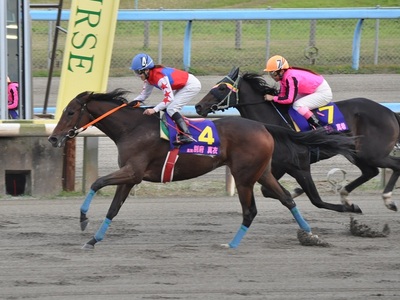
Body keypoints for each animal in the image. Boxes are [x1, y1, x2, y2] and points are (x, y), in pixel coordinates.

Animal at [47, 88, 354, 248]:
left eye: (70, 112)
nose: (53, 137)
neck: (132, 128)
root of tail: (263, 126)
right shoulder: (131, 177)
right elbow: (113, 208)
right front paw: (94, 239)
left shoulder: (132, 172)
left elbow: (96, 183)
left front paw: (83, 220)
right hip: (263, 172)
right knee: (288, 199)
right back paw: (311, 234)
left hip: (244, 176)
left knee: (250, 211)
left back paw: (231, 244)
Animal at [196, 68, 400, 213]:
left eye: (222, 88)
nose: (198, 106)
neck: (274, 120)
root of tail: (389, 112)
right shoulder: (277, 166)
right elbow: (267, 191)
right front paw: (295, 191)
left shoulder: (298, 164)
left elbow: (314, 199)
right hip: (356, 153)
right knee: (370, 171)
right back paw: (346, 195)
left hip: (372, 153)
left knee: (393, 165)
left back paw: (388, 200)